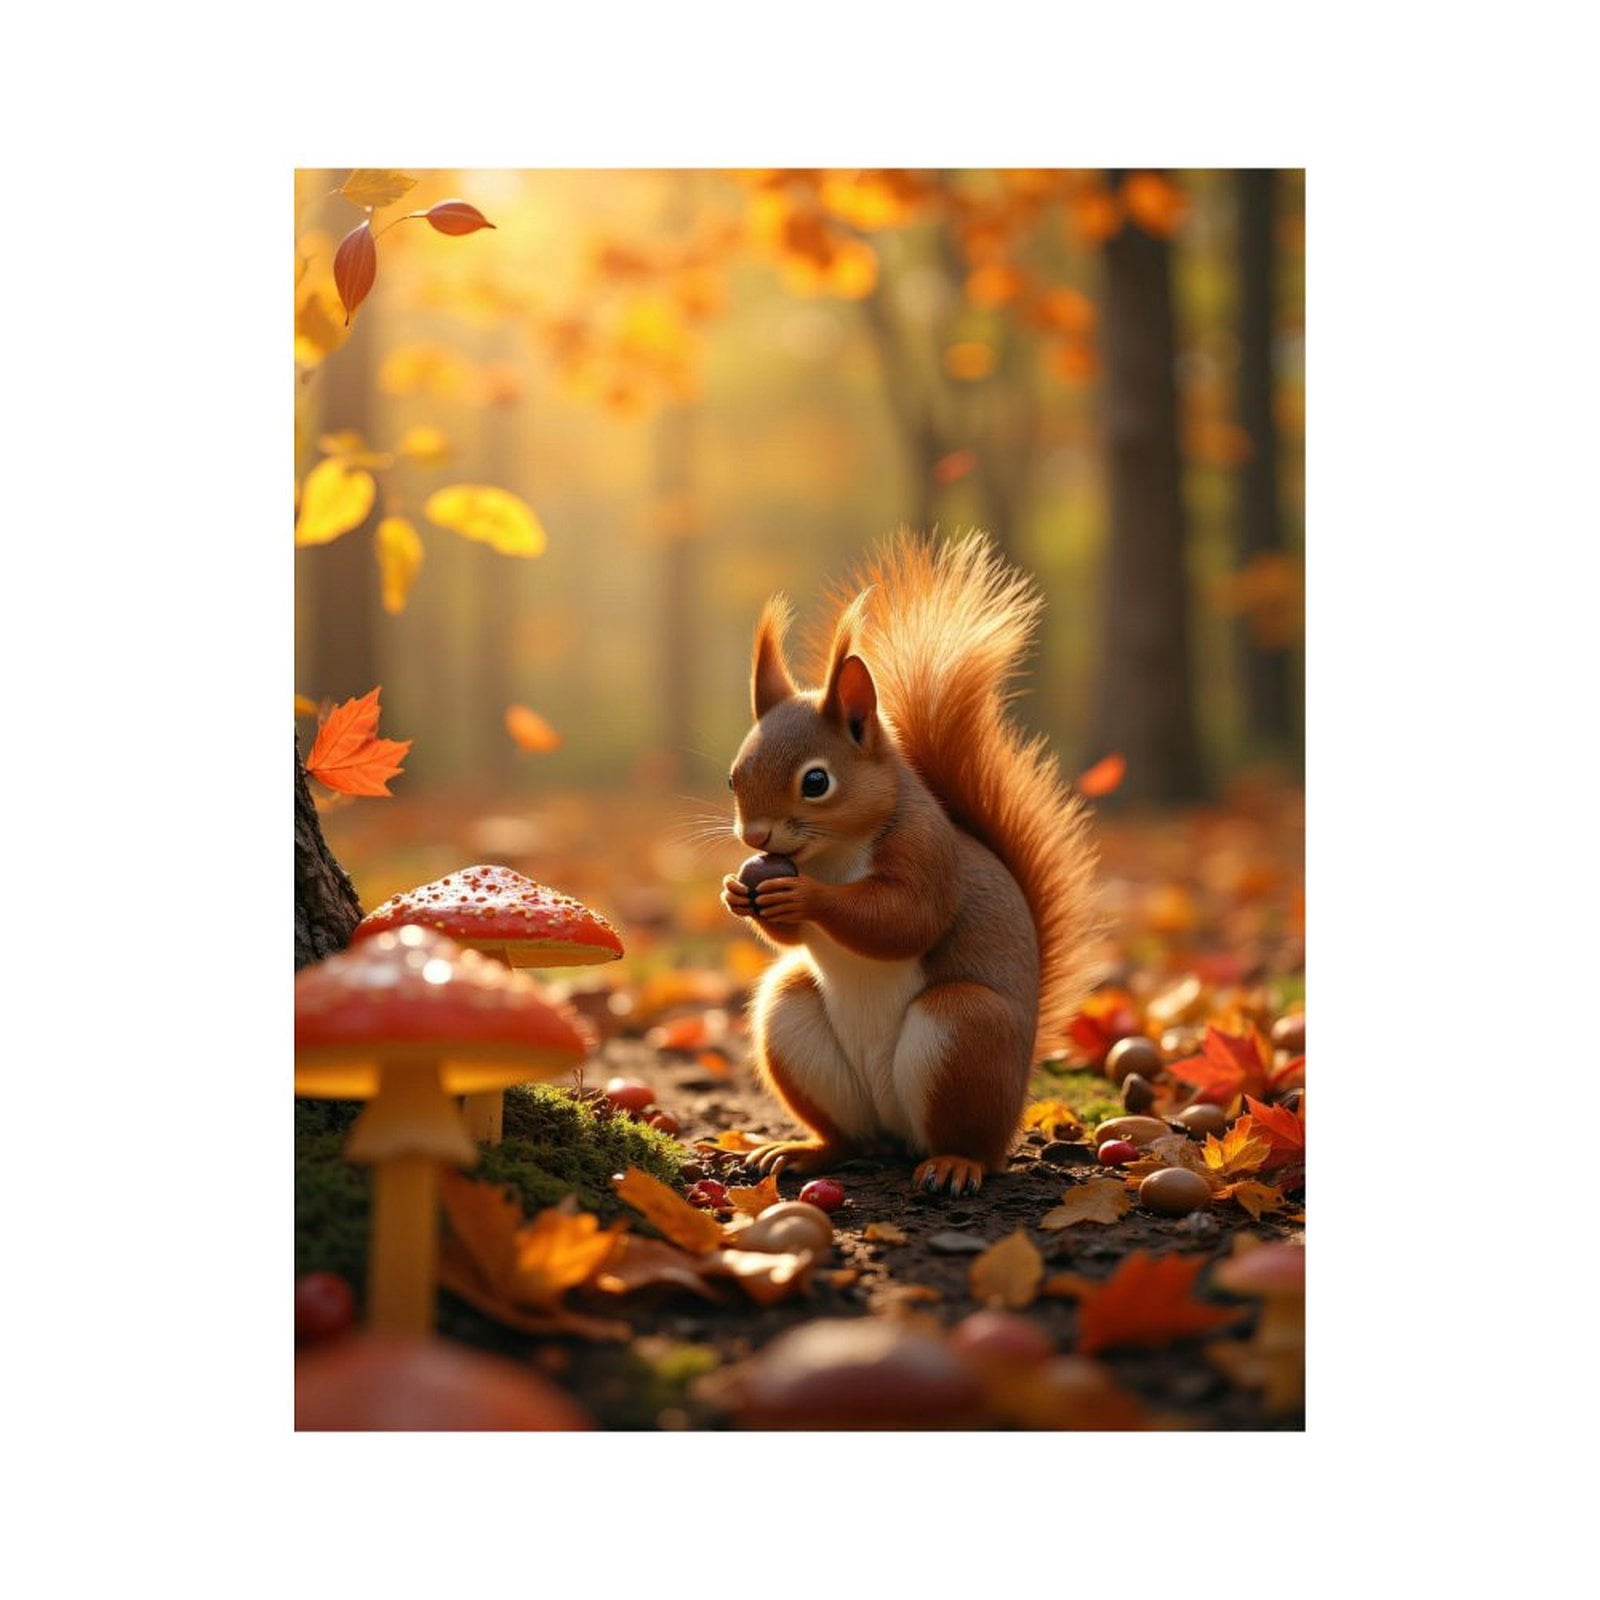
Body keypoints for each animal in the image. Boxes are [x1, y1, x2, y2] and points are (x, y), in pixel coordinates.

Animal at [720, 531, 1099, 1196]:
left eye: (815, 782)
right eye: (733, 777)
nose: (756, 836)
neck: (830, 856)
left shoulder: (926, 851)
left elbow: (903, 919)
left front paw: (806, 898)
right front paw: (739, 895)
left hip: (964, 1030)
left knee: (971, 1144)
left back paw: (954, 1163)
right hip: (793, 1022)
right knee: (851, 1139)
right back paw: (804, 1151)